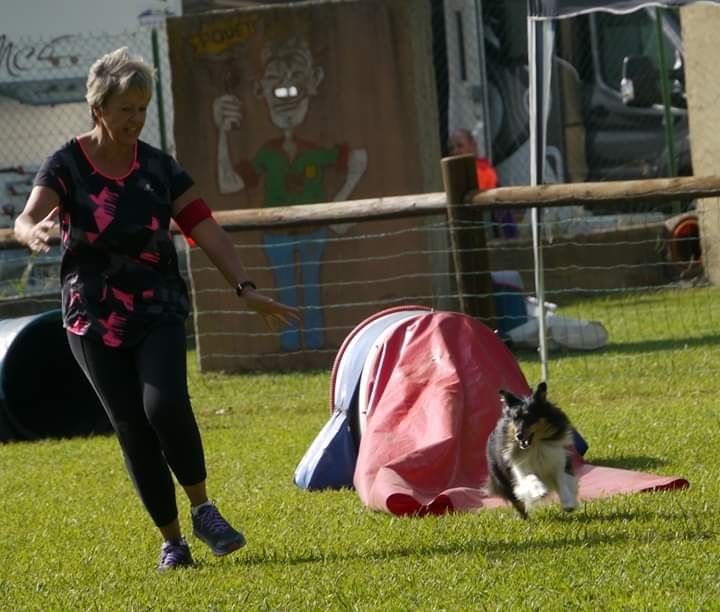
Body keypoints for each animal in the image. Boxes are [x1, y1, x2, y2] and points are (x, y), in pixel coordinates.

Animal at [484, 382, 580, 516]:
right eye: (515, 418)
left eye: (530, 417)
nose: (518, 436)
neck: (535, 446)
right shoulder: (519, 470)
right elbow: (530, 476)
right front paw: (540, 490)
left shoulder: (558, 463)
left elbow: (562, 481)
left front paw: (568, 503)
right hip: (503, 479)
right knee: (518, 503)